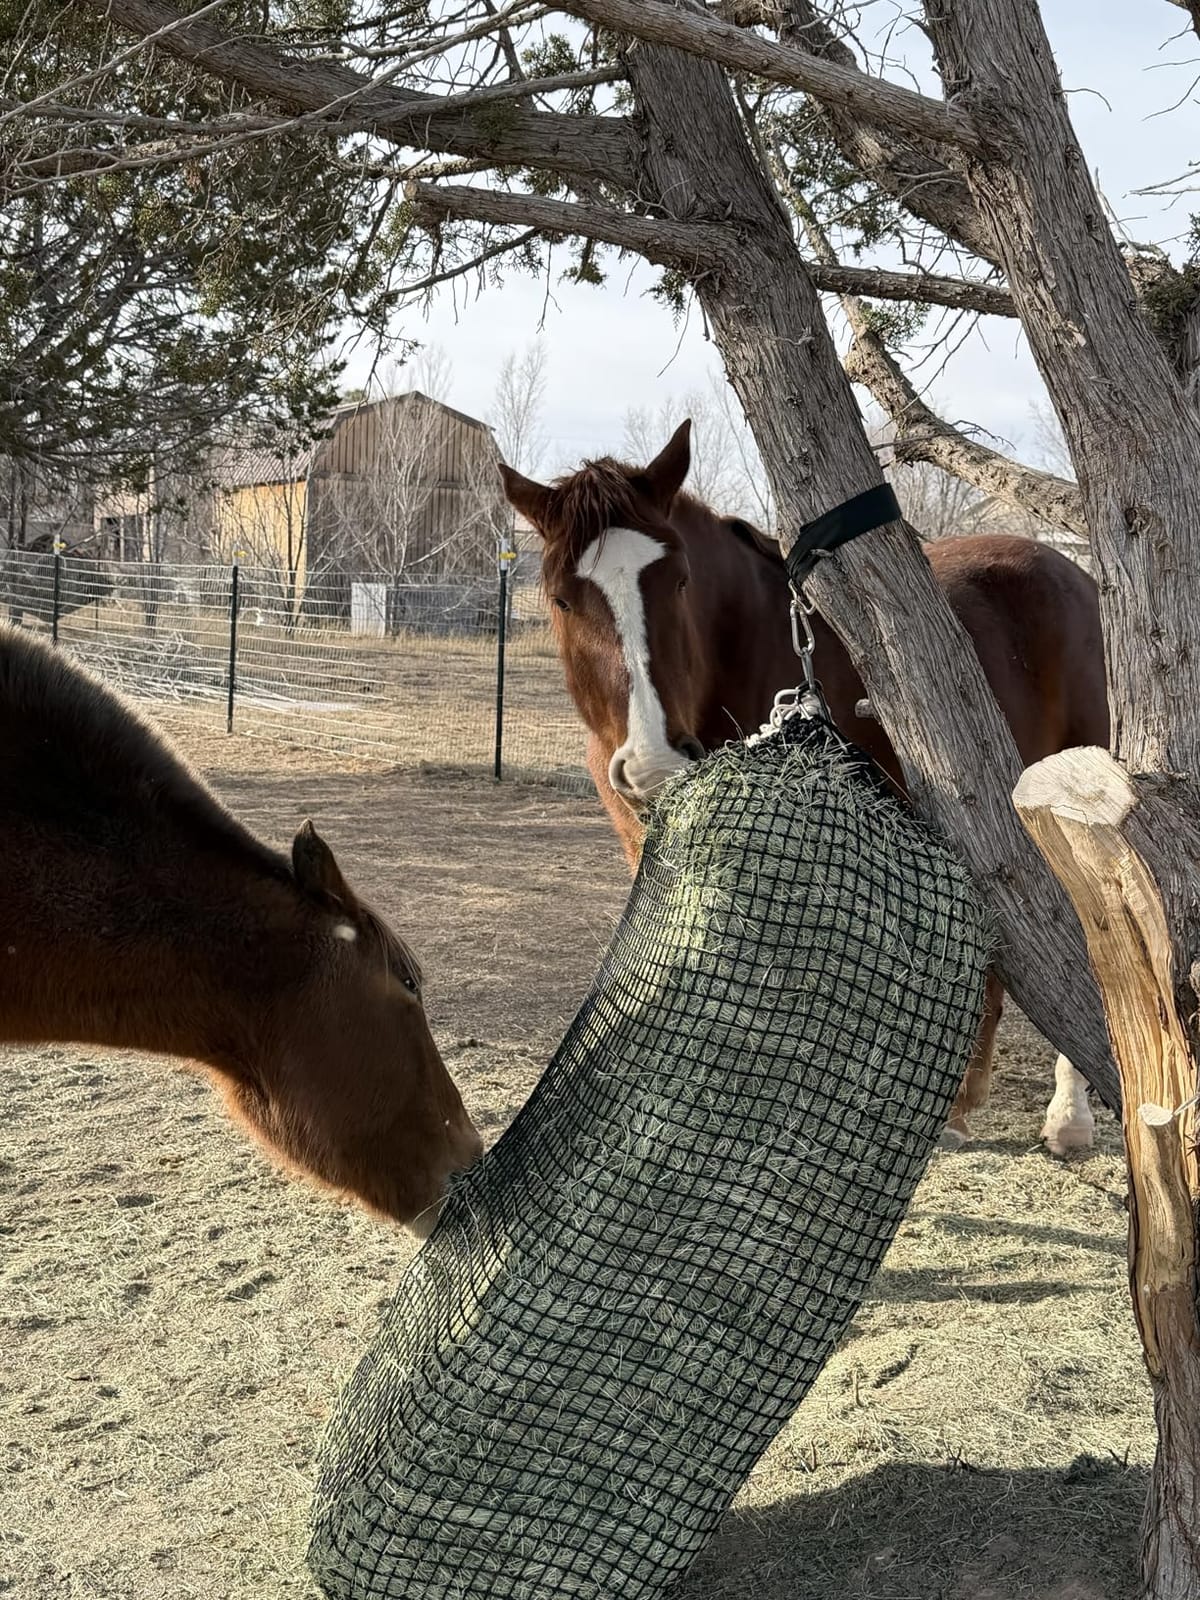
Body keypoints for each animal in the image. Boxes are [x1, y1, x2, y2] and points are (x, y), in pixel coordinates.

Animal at [500, 421, 1108, 1156]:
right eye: (563, 598)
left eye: (679, 582)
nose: (653, 762)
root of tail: (1076, 576)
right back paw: (961, 1104)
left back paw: (1068, 1117)